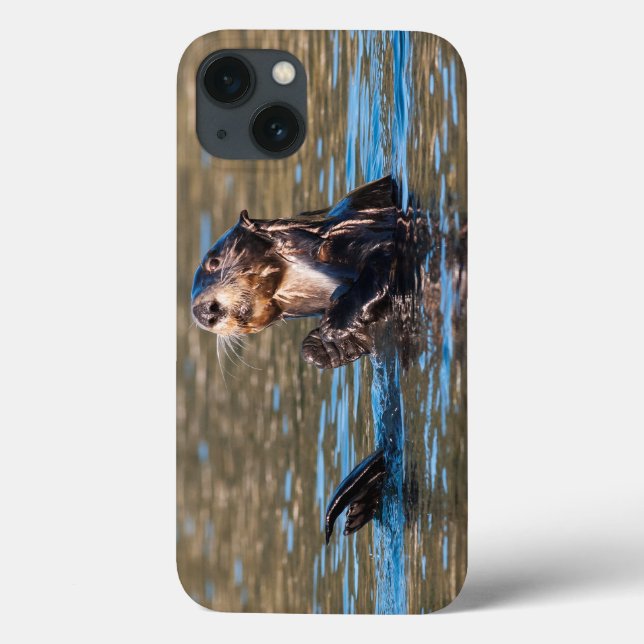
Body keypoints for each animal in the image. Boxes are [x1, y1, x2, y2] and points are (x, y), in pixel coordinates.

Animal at [191, 176, 402, 369]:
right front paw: (323, 346)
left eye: (214, 262)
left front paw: (334, 325)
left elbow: (382, 261)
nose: (202, 312)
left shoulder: (362, 230)